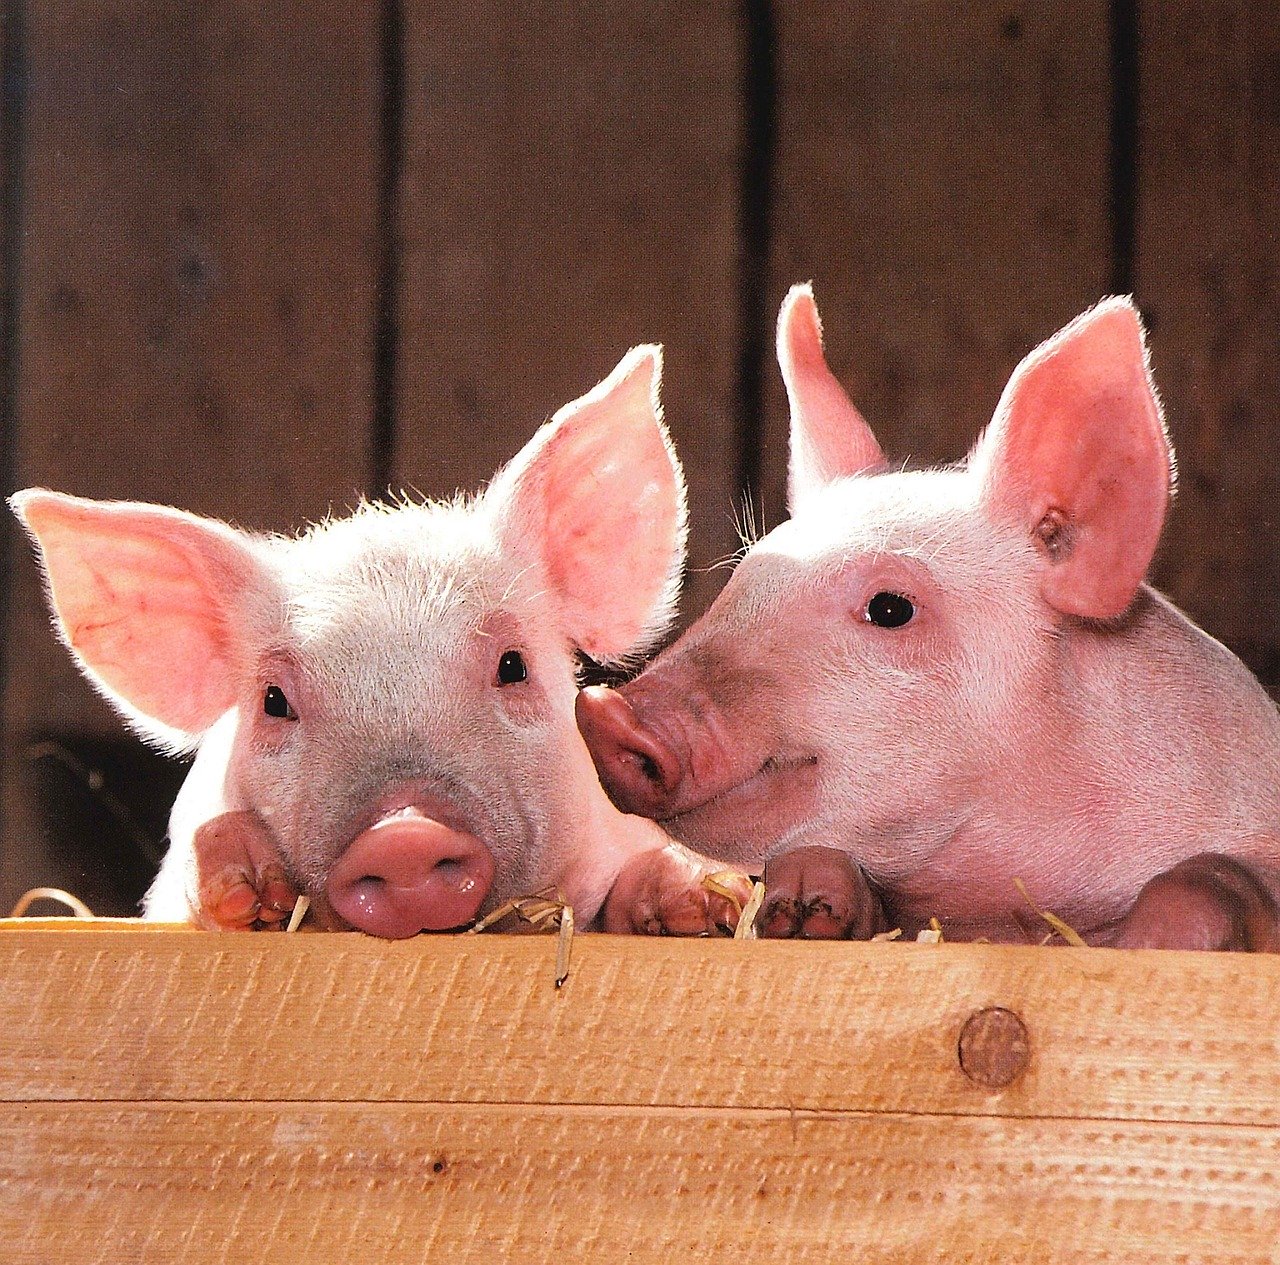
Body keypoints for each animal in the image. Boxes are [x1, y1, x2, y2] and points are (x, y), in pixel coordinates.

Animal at [577, 286, 1280, 951]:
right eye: (745, 579)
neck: (1011, 907)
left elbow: (1213, 876)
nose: (606, 711)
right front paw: (794, 903)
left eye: (891, 608)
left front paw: (1147, 943)